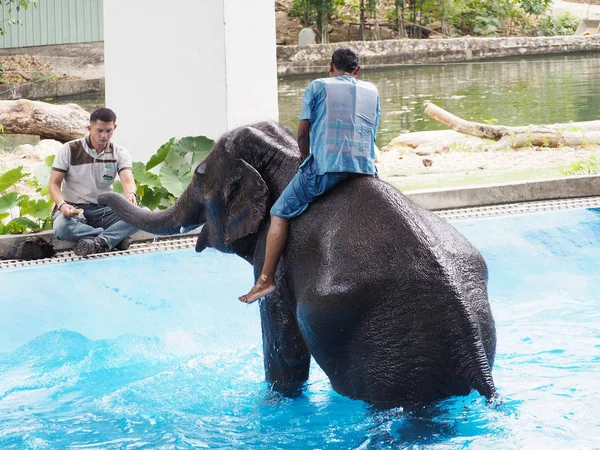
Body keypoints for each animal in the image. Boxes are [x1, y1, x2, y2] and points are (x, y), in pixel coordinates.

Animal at [101, 120, 496, 408]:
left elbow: (284, 346)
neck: (286, 154)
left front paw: (274, 404)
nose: (106, 193)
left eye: (198, 176)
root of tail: (472, 353)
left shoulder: (274, 257)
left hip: (395, 350)